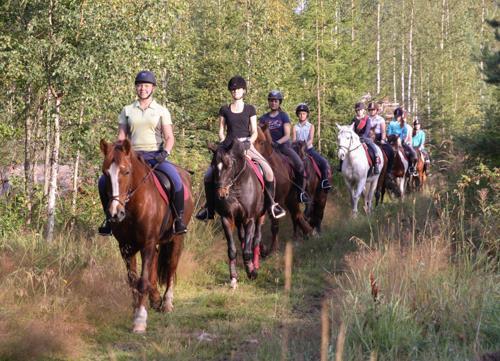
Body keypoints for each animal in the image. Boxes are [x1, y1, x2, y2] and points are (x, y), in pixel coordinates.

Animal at [98, 139, 192, 332]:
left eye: (126, 171)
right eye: (105, 173)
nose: (115, 213)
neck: (133, 205)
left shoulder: (147, 243)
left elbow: (142, 281)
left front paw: (140, 320)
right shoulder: (126, 247)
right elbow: (133, 281)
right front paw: (136, 310)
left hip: (177, 238)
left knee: (171, 267)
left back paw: (167, 303)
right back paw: (155, 298)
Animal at [208, 139, 268, 288]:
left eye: (229, 166)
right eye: (213, 166)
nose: (221, 194)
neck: (236, 186)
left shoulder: (249, 219)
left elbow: (247, 250)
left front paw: (252, 273)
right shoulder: (227, 219)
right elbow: (232, 250)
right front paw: (233, 278)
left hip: (260, 216)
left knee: (256, 238)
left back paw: (255, 265)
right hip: (239, 220)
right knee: (242, 239)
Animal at [254, 125, 312, 255]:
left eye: (262, 142)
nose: (254, 160)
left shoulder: (278, 201)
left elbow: (274, 225)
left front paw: (274, 249)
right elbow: (257, 226)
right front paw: (263, 249)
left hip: (292, 197)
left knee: (297, 214)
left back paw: (307, 233)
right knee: (296, 215)